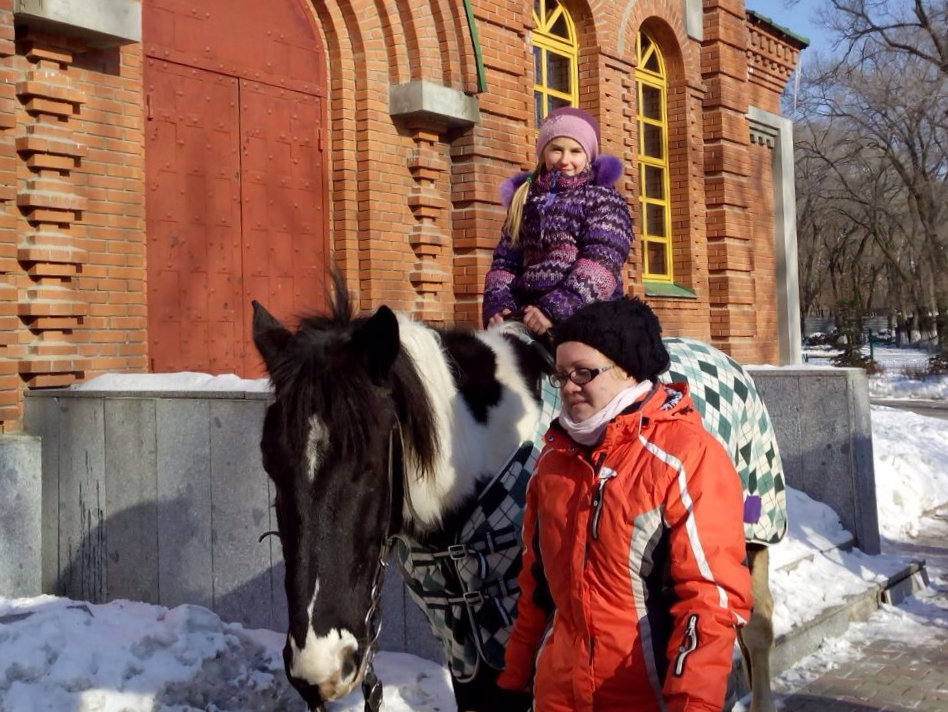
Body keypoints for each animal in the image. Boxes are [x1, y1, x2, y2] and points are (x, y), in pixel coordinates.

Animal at [250, 278, 776, 712]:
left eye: (370, 461)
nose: (319, 666)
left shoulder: (514, 632)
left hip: (752, 538)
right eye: (271, 463)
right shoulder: (463, 642)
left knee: (755, 635)